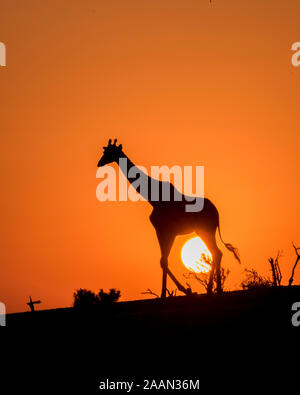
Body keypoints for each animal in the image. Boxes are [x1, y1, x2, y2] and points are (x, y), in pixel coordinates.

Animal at [97, 139, 240, 296]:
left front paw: (175, 292)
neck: (152, 198)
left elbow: (164, 261)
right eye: (104, 151)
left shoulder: (168, 231)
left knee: (216, 253)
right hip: (203, 231)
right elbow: (163, 261)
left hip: (206, 230)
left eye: (110, 152)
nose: (100, 163)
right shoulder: (161, 231)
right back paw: (211, 289)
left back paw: (216, 289)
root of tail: (216, 212)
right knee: (216, 253)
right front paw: (173, 292)